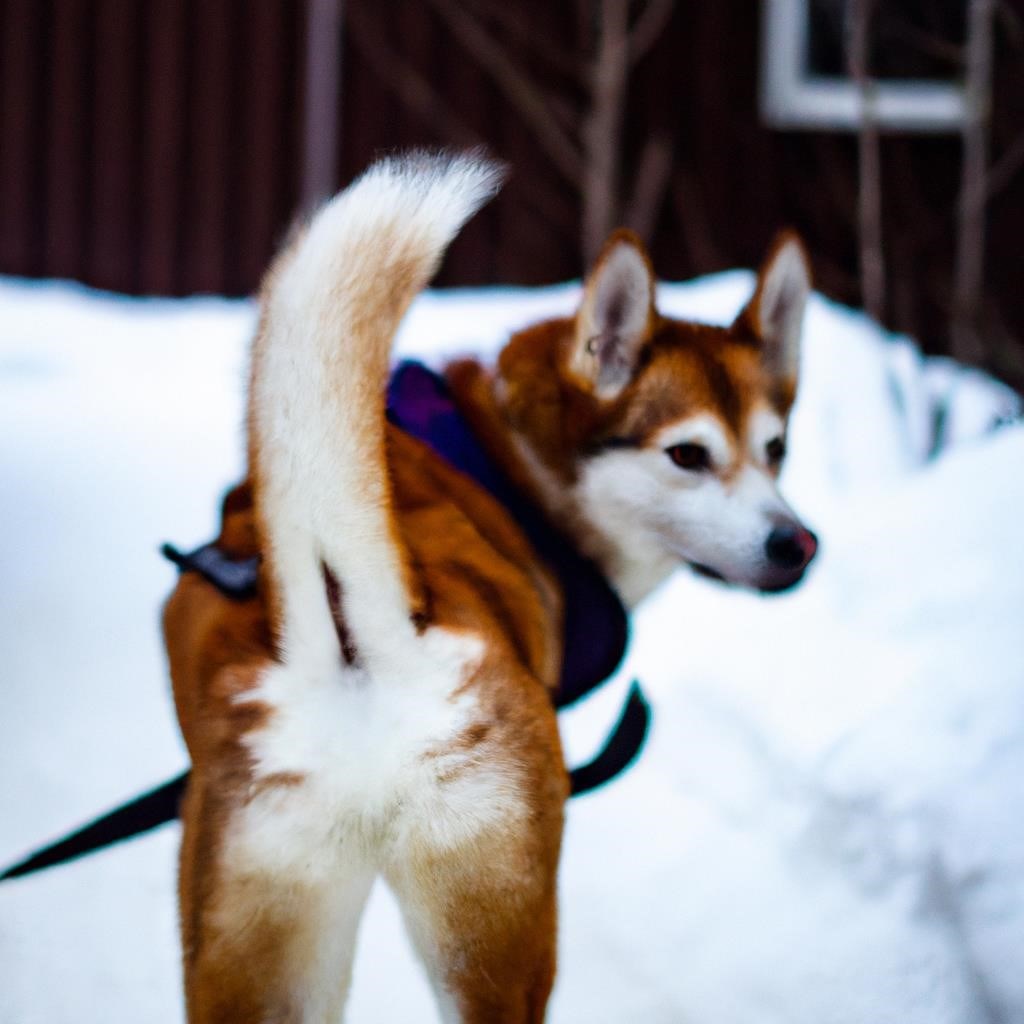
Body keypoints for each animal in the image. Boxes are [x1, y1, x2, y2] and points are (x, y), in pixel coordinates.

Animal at [161, 151, 815, 1024]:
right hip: (504, 934)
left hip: (259, 944)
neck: (517, 461)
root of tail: (356, 640)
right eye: (688, 455)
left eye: (776, 449)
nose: (796, 544)